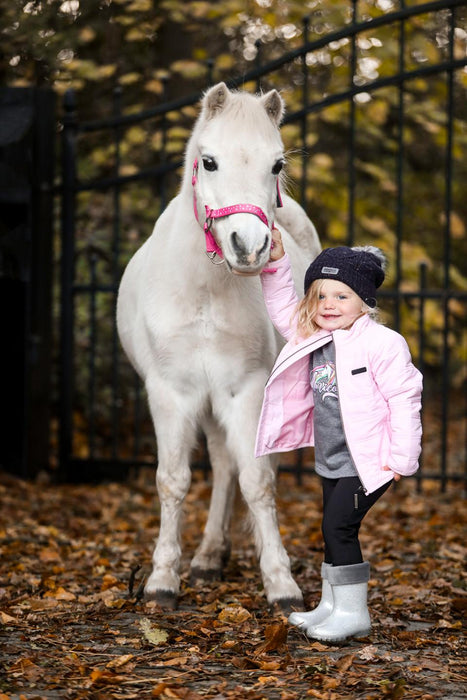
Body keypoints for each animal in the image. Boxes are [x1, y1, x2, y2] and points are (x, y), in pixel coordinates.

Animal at [117, 82, 322, 608]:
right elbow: (173, 481)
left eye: (276, 165)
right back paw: (209, 556)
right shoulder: (172, 394)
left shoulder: (245, 391)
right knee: (221, 464)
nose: (248, 248)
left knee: (237, 467)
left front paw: (281, 583)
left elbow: (257, 481)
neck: (206, 290)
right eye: (208, 161)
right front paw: (162, 581)